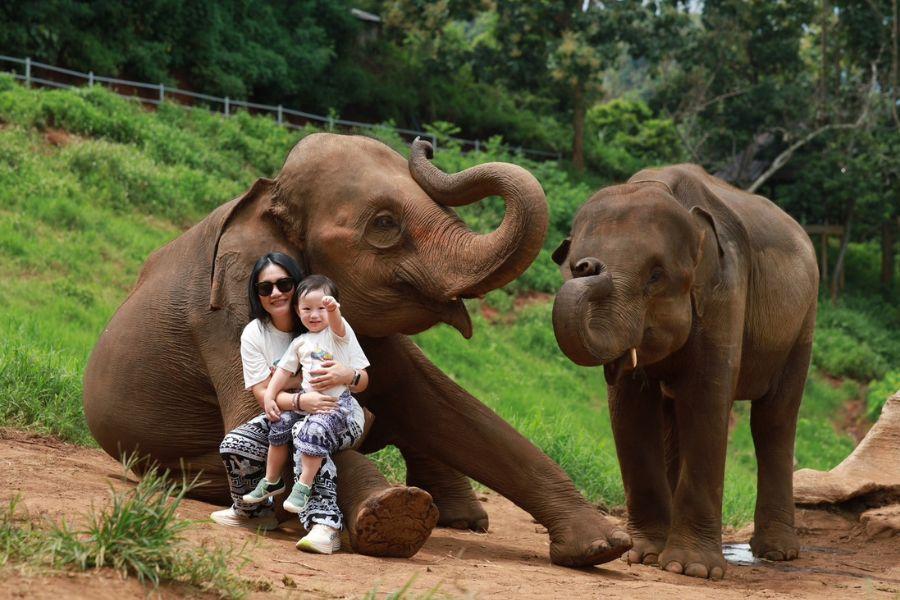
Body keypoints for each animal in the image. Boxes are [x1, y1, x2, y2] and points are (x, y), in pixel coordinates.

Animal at [84, 132, 632, 568]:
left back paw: (464, 519)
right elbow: (263, 415)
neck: (268, 195)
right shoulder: (225, 317)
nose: (426, 142)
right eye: (385, 224)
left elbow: (446, 405)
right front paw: (395, 518)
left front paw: (601, 547)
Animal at [552, 166, 820, 580]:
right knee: (673, 419)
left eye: (655, 276)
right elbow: (630, 410)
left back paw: (777, 553)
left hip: (802, 324)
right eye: (571, 264)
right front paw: (644, 556)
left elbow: (705, 400)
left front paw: (691, 569)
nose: (588, 266)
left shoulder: (725, 292)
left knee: (774, 420)